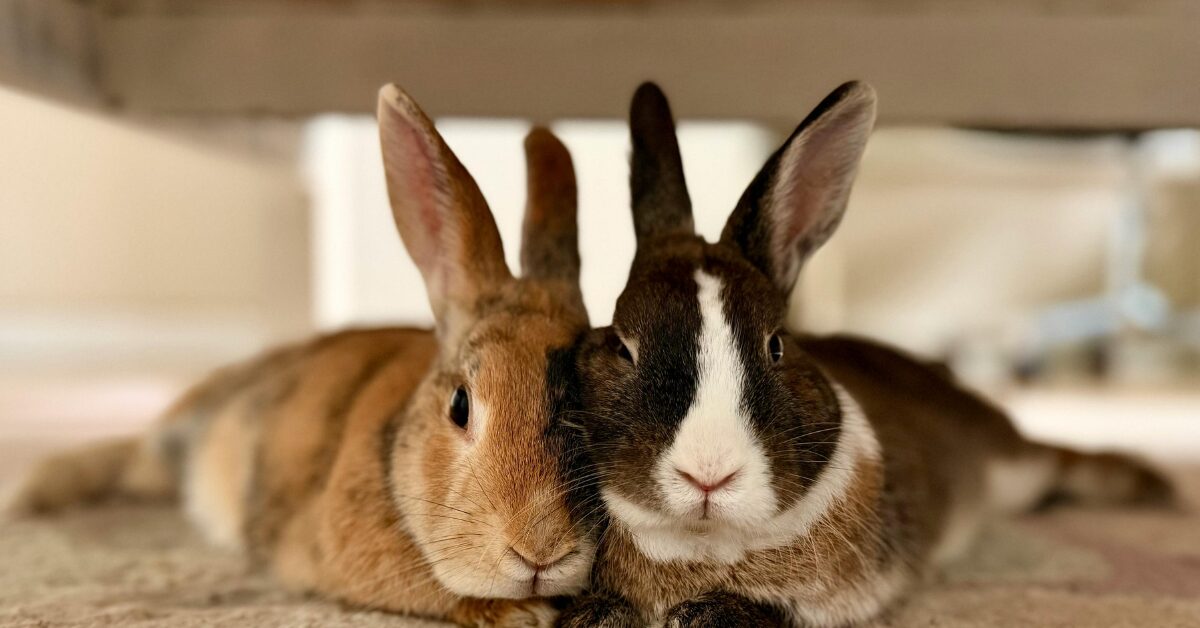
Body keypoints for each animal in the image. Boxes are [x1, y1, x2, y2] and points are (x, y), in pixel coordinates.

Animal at [557, 81, 1175, 627]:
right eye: (623, 345)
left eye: (776, 345)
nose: (709, 474)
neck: (703, 542)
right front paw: (598, 615)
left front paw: (707, 612)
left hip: (1014, 466)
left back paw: (1153, 488)